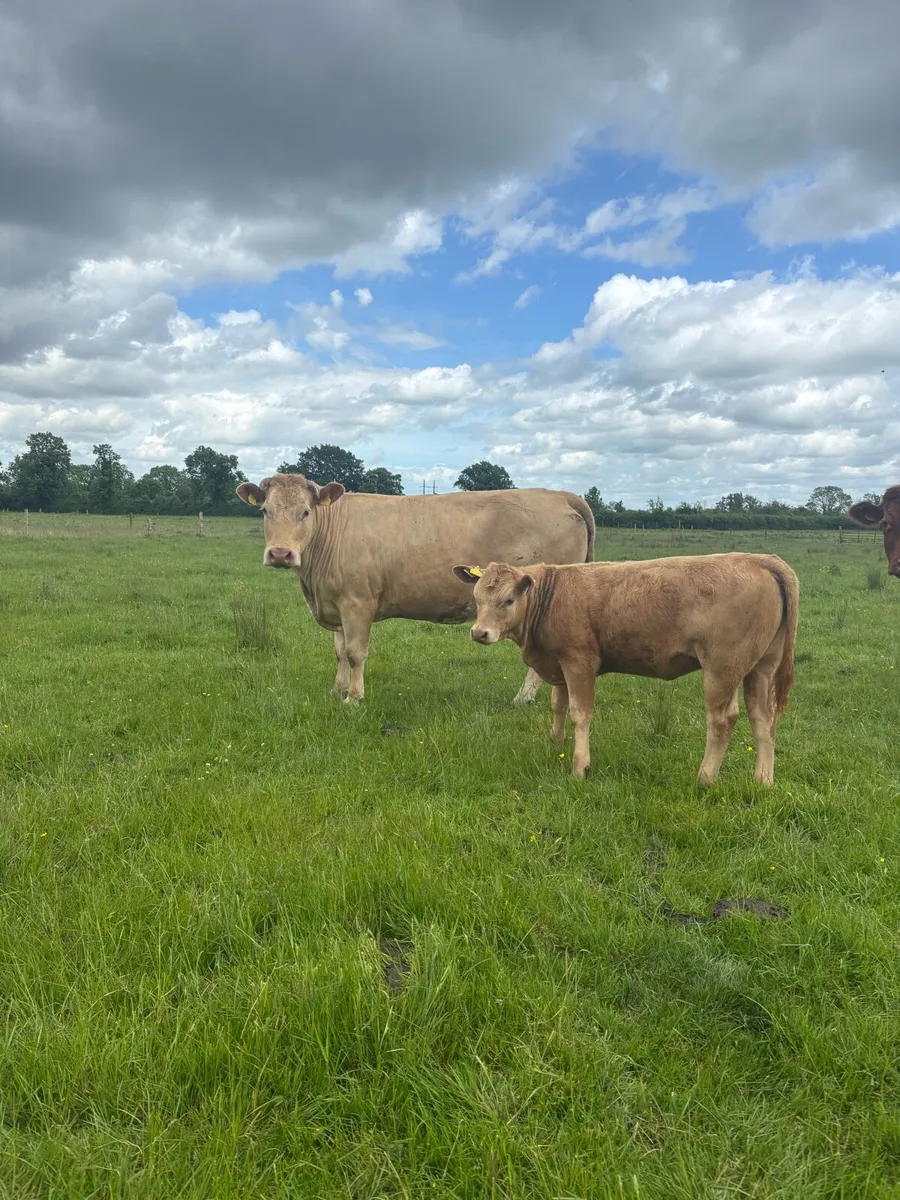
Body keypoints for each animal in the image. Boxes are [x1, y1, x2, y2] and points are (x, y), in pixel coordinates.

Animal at [235, 473, 595, 704]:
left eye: (306, 511)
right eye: (265, 511)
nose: (280, 553)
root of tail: (560, 494)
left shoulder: (356, 603)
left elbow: (355, 652)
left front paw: (353, 698)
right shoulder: (335, 604)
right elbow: (338, 652)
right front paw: (337, 690)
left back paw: (523, 698)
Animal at [454, 552, 799, 786]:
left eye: (508, 600)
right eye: (477, 597)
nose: (479, 633)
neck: (551, 595)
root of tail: (760, 560)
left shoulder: (579, 661)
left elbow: (580, 713)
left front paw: (580, 767)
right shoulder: (558, 662)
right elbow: (558, 705)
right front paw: (556, 741)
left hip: (722, 669)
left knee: (722, 720)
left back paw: (705, 778)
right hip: (761, 668)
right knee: (763, 719)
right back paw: (762, 780)